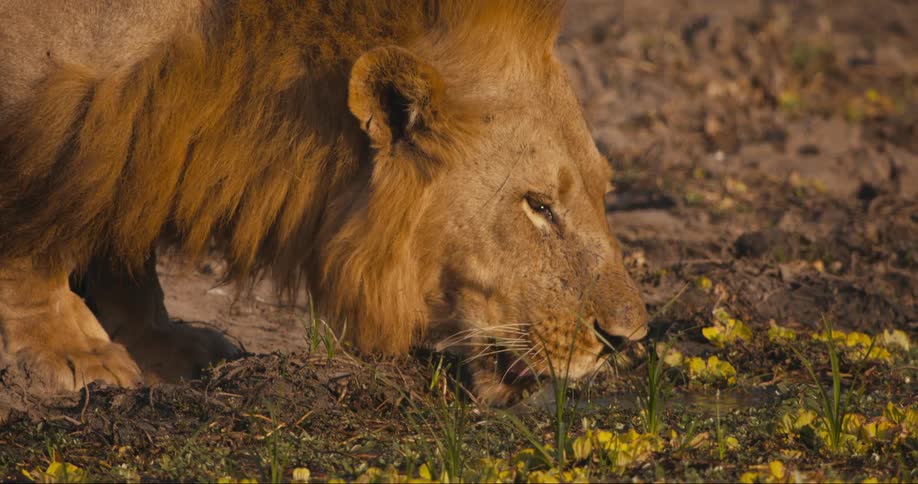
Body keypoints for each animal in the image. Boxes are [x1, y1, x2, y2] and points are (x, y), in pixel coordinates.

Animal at [0, 0, 648, 405]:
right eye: (538, 205)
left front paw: (160, 341)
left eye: (604, 191)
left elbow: (124, 233)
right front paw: (73, 348)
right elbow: (30, 243)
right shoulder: (65, 107)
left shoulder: (132, 129)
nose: (629, 340)